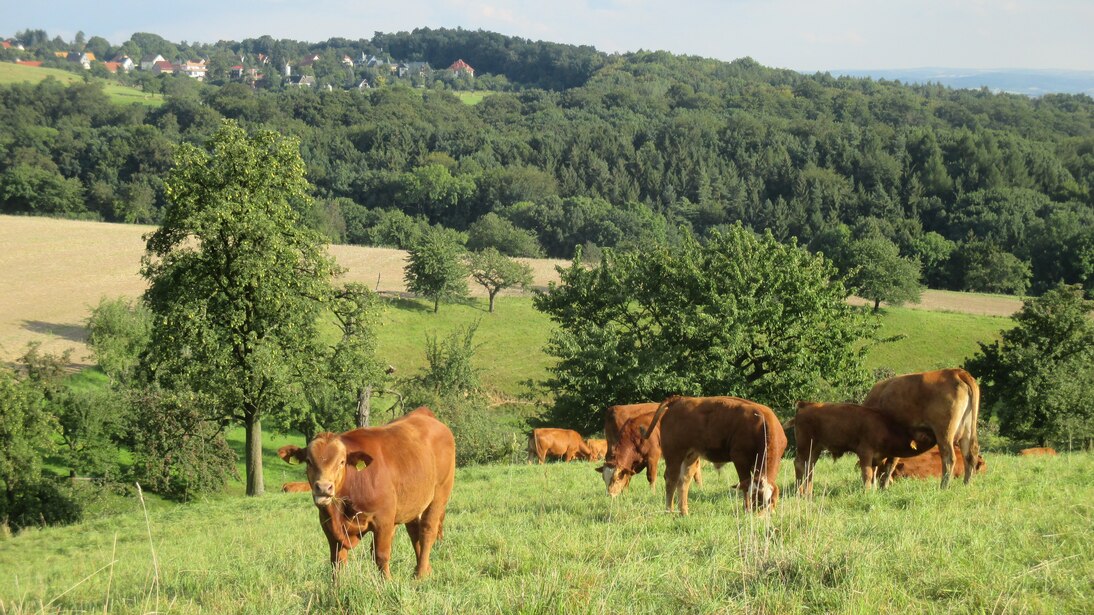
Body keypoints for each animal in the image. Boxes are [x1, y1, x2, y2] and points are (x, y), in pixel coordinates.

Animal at [282, 404, 457, 577]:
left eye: (342, 461)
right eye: (308, 461)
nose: (324, 487)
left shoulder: (384, 520)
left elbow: (381, 555)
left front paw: (387, 582)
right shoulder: (329, 527)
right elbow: (337, 562)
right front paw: (336, 585)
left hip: (440, 494)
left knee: (427, 531)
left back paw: (420, 575)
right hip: (413, 502)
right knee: (414, 532)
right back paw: (424, 569)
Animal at [792, 398, 936, 492]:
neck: (885, 427)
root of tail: (806, 405)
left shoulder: (877, 458)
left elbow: (874, 474)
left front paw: (873, 490)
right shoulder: (865, 452)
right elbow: (868, 474)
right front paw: (866, 492)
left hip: (815, 448)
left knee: (809, 466)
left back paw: (808, 492)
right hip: (805, 445)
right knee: (799, 464)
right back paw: (800, 492)